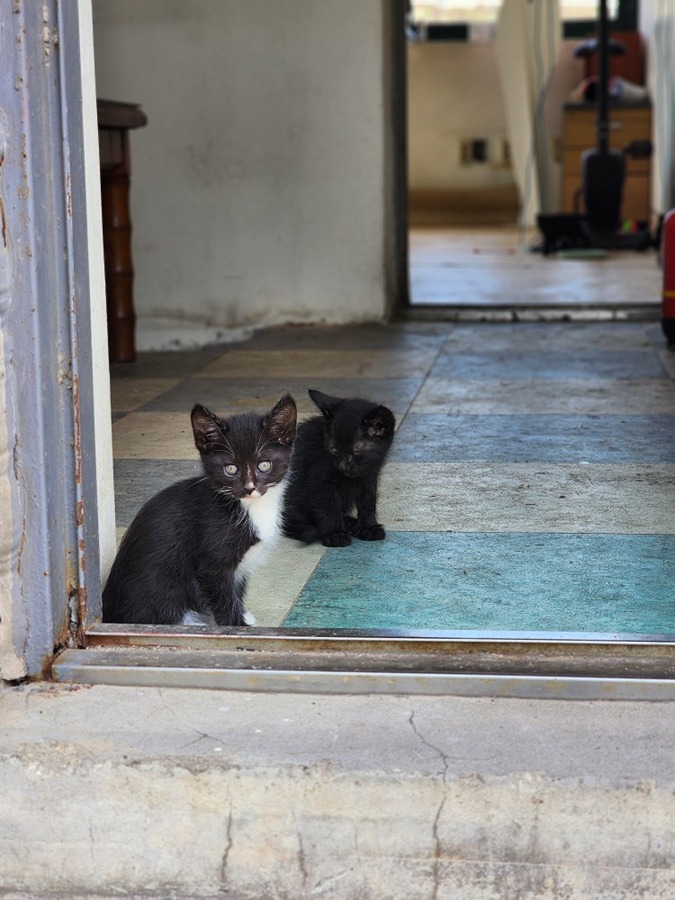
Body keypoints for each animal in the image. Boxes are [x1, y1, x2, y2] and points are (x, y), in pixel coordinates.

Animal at [101, 394, 298, 624]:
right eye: (231, 469)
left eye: (264, 465)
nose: (249, 488)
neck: (247, 506)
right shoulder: (212, 564)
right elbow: (223, 599)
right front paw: (237, 625)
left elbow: (236, 590)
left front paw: (242, 616)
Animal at [282, 388, 396, 548]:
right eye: (333, 449)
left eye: (356, 451)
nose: (341, 466)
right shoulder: (319, 479)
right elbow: (328, 506)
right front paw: (334, 533)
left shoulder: (370, 477)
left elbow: (368, 501)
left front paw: (368, 527)